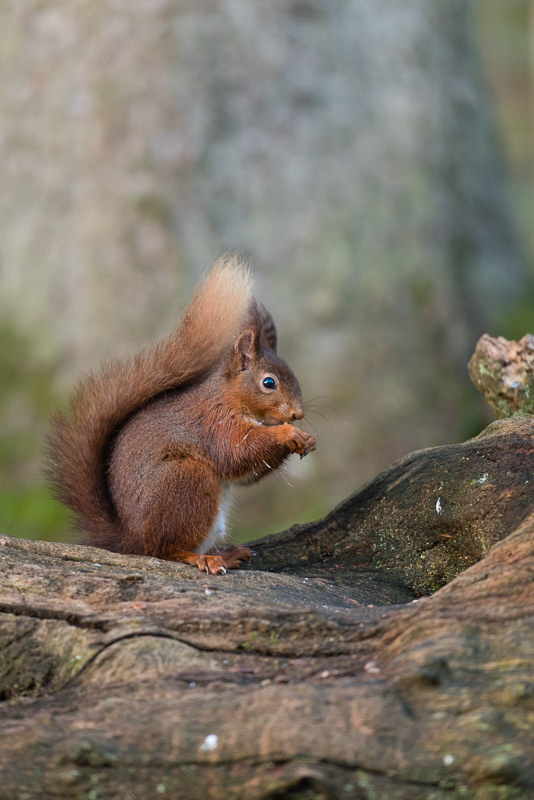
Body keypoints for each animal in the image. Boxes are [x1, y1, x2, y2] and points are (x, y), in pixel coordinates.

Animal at [46, 255, 316, 575]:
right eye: (269, 383)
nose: (298, 413)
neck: (231, 399)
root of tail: (131, 540)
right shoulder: (214, 423)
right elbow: (235, 453)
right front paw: (288, 433)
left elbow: (243, 474)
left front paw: (307, 439)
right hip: (186, 480)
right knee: (165, 551)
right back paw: (201, 558)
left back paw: (227, 554)